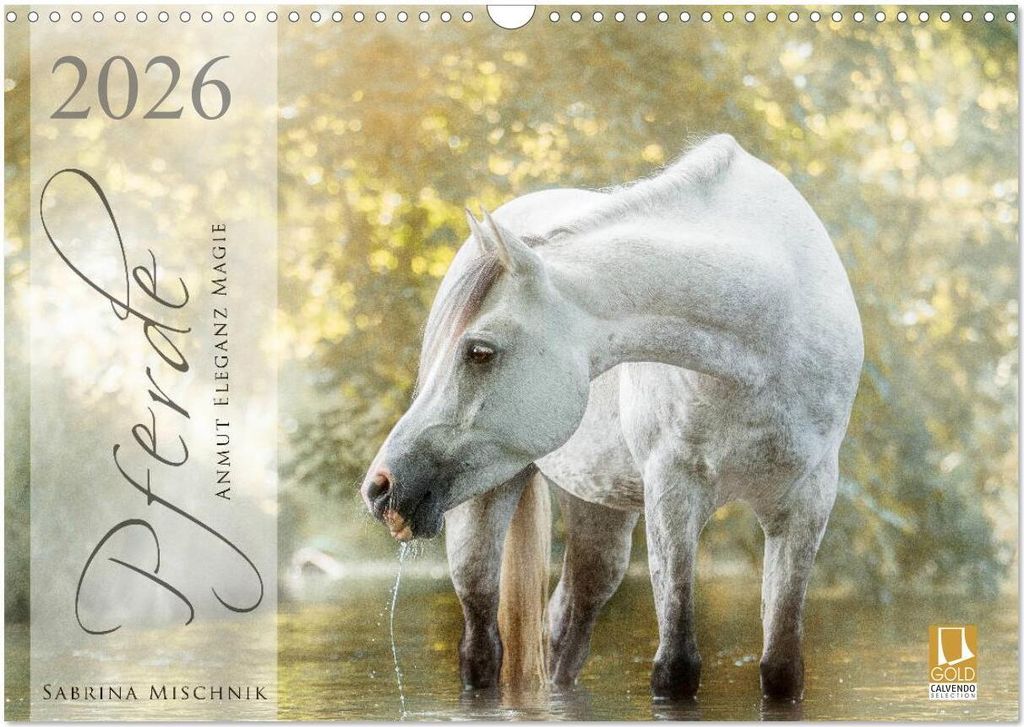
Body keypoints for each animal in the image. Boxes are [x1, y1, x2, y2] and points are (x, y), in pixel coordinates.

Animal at [360, 135, 864, 701]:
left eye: (479, 352)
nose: (381, 487)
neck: (771, 332)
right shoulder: (673, 491)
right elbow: (677, 667)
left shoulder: (806, 502)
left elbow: (781, 668)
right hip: (483, 505)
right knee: (481, 646)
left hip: (598, 512)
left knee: (567, 623)